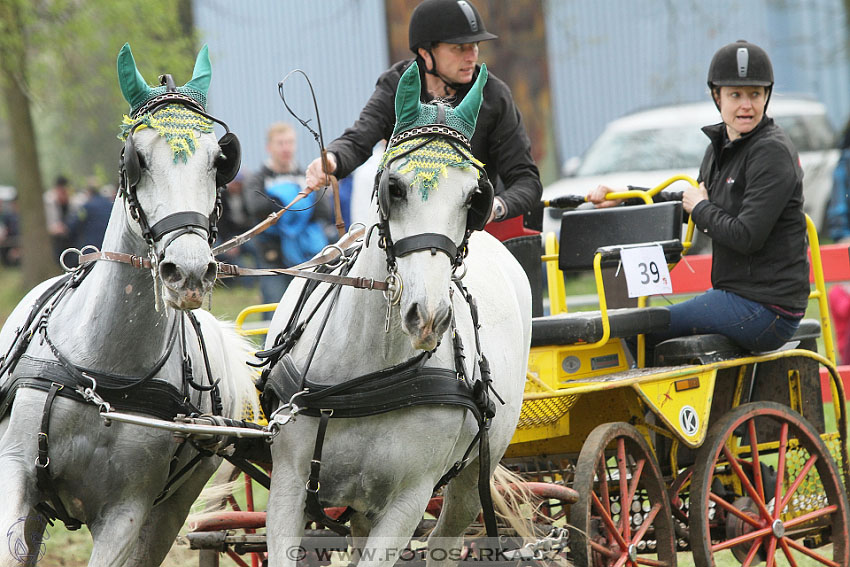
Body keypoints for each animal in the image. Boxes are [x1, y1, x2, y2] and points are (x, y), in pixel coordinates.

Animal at [0, 44, 256, 567]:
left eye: (218, 160)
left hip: (171, 508)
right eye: (137, 158)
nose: (190, 271)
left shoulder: (128, 511)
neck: (104, 376)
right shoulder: (16, 475)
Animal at [264, 63, 528, 567]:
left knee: (447, 536)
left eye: (475, 197)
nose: (427, 316)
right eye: (395, 187)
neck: (364, 375)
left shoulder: (408, 500)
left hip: (469, 482)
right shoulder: (288, 482)